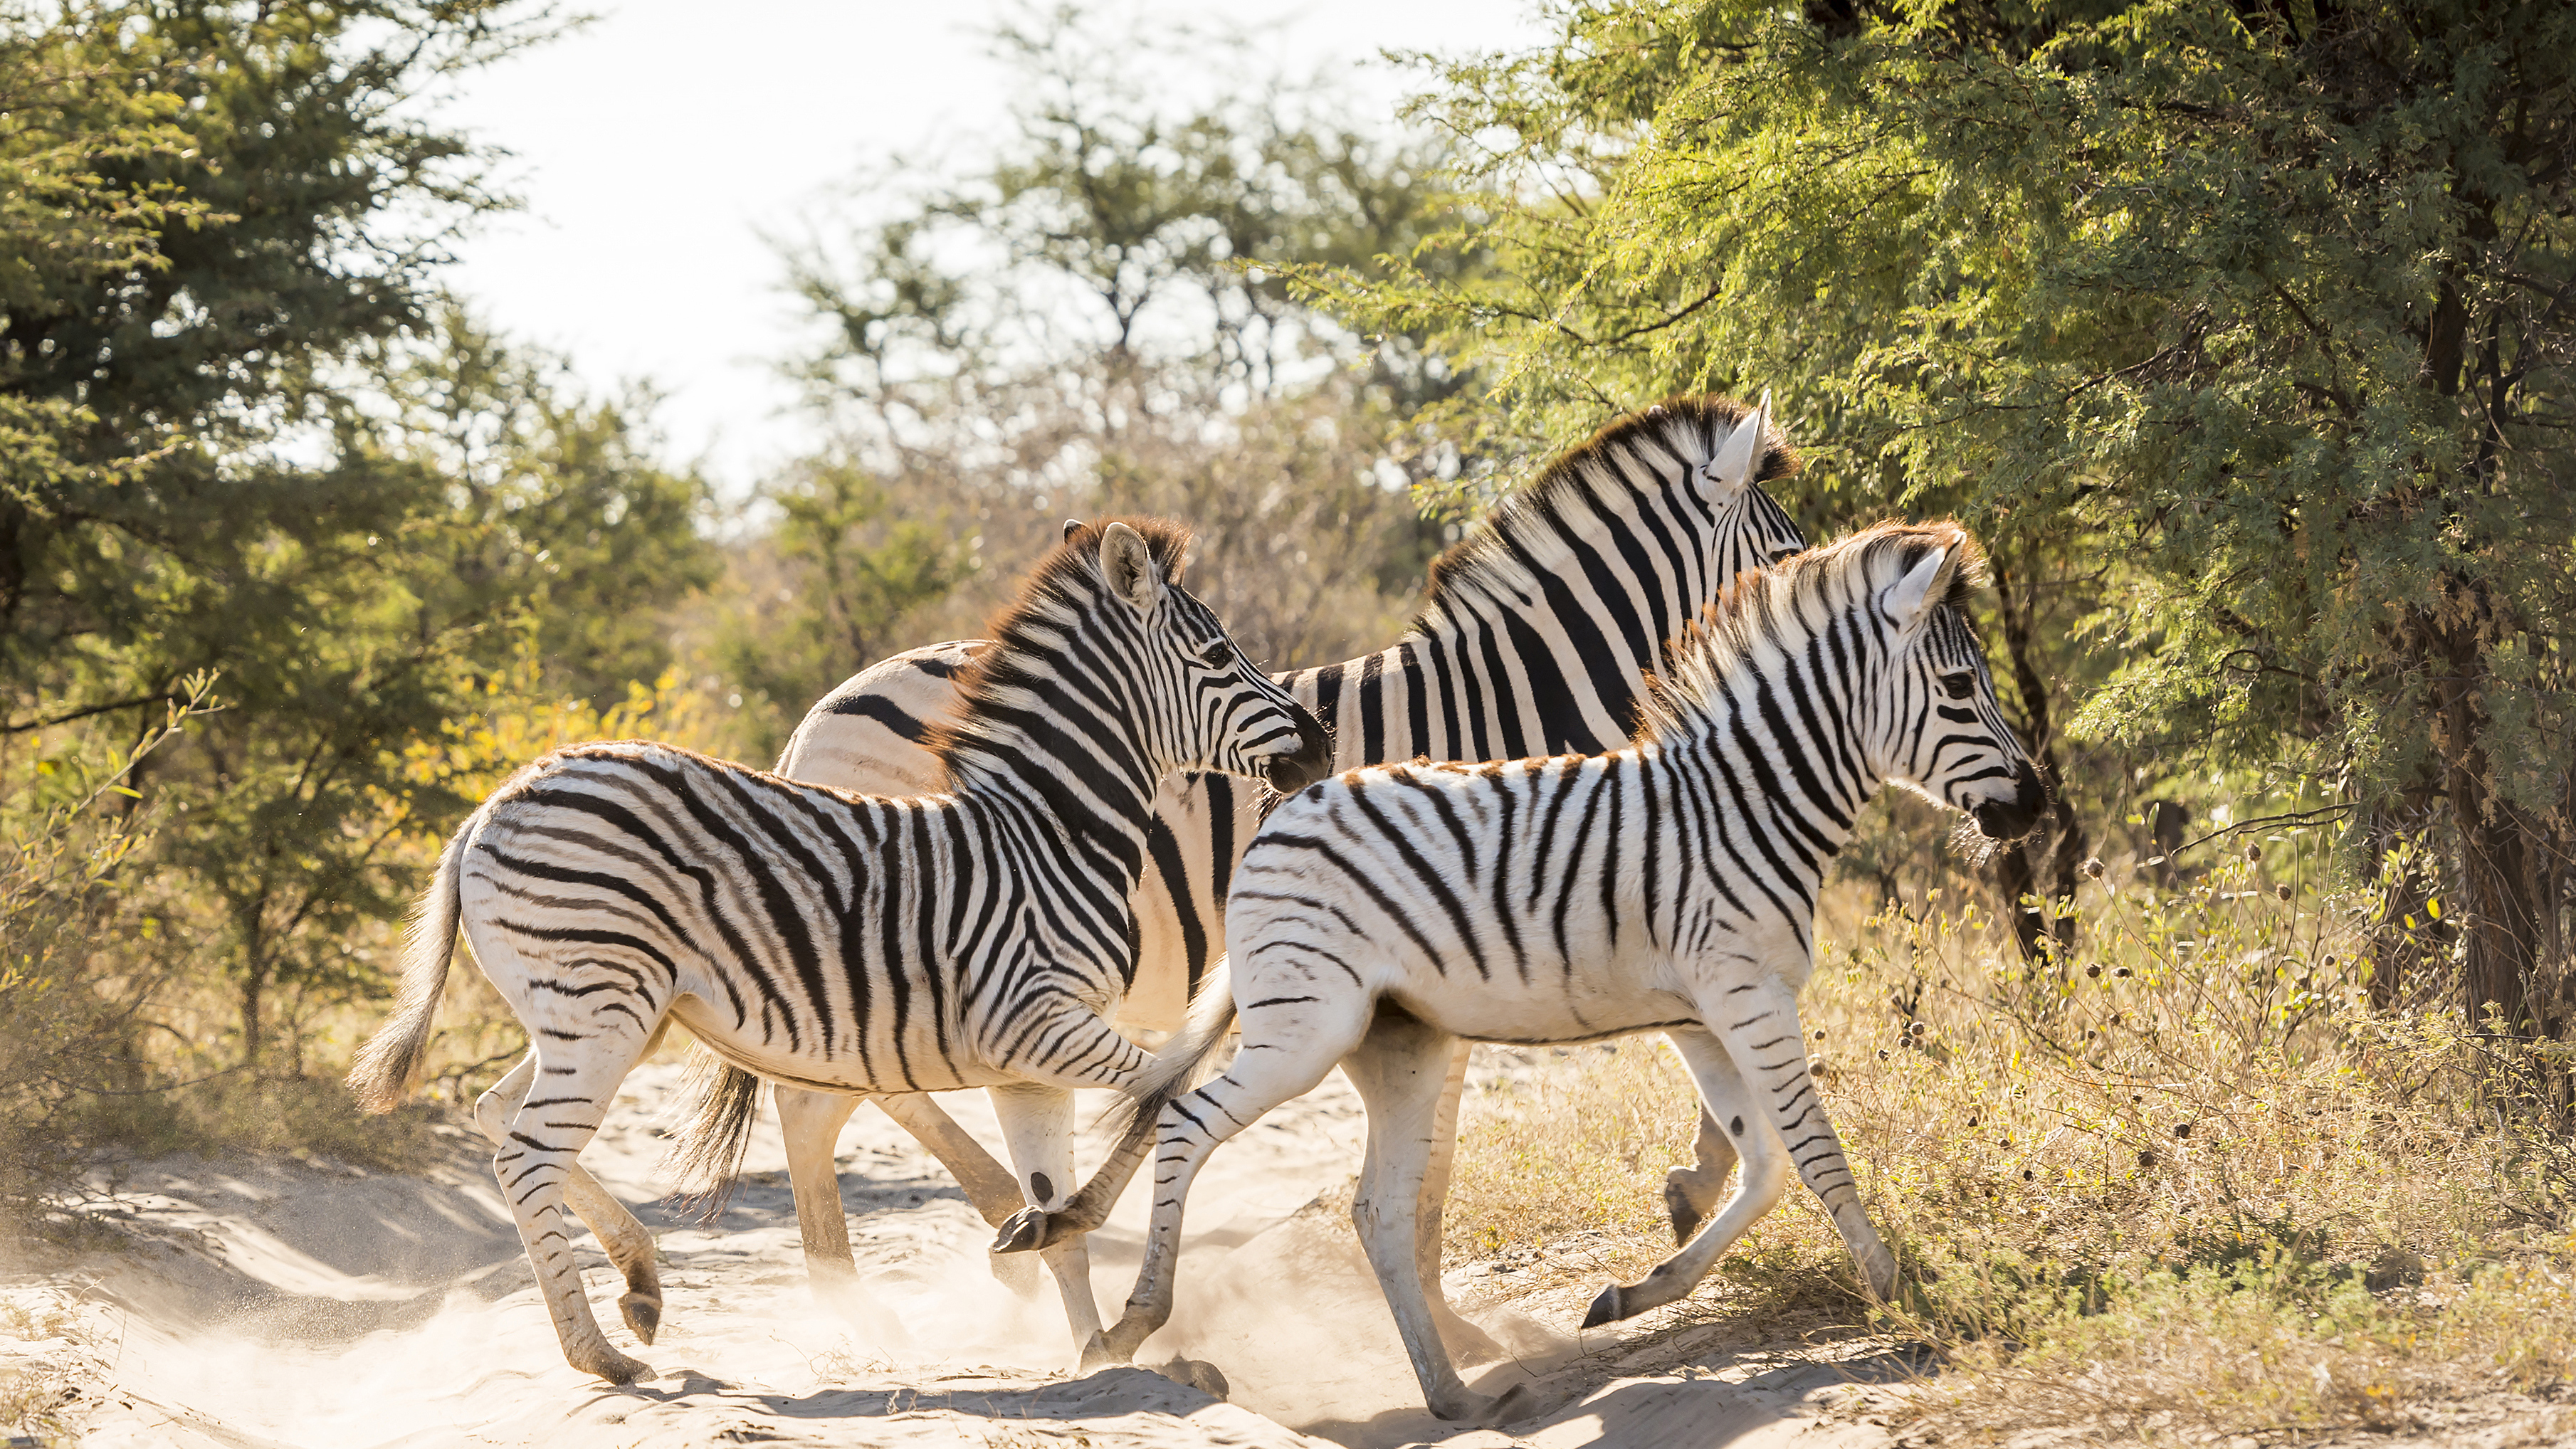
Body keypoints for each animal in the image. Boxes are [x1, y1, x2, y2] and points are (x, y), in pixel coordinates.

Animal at [344, 520, 1333, 1384]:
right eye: (1218, 657)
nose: (1324, 746)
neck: (1049, 832)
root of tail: (490, 806)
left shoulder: (1030, 1065)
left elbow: (1069, 1193)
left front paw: (1092, 1343)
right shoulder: (1036, 1023)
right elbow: (1168, 1096)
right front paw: (1109, 1315)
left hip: (600, 1015)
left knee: (496, 1114)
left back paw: (642, 1285)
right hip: (604, 1014)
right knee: (525, 1155)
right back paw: (603, 1355)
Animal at [696, 393, 1813, 1359]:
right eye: (1788, 554)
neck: (1500, 717)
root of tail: (822, 711)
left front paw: (1686, 1188)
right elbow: (1433, 1167)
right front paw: (1462, 1323)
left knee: (844, 1092)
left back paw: (988, 1231)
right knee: (818, 1102)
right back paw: (874, 1295)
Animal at [999, 520, 2048, 1424]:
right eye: (1961, 685)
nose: (2035, 805)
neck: (1744, 804)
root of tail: (1275, 823)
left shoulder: (1702, 1014)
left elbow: (1761, 1167)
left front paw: (1636, 1292)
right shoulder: (1747, 996)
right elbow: (1814, 1153)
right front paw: (1899, 1293)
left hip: (1399, 1042)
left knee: (1377, 1208)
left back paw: (1453, 1396)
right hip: (1305, 1029)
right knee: (1184, 1123)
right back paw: (1137, 1321)